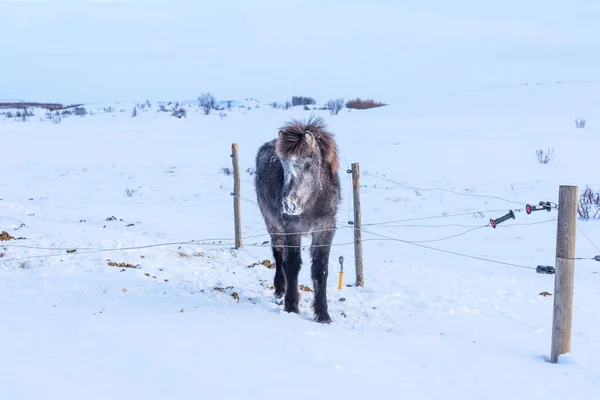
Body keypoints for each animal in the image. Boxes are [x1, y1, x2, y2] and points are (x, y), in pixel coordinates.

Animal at [254, 114, 342, 324]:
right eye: (283, 164)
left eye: (307, 164)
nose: (289, 204)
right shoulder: (292, 229)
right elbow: (292, 265)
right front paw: (291, 306)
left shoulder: (324, 231)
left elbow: (320, 270)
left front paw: (323, 315)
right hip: (272, 223)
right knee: (278, 254)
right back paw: (280, 291)